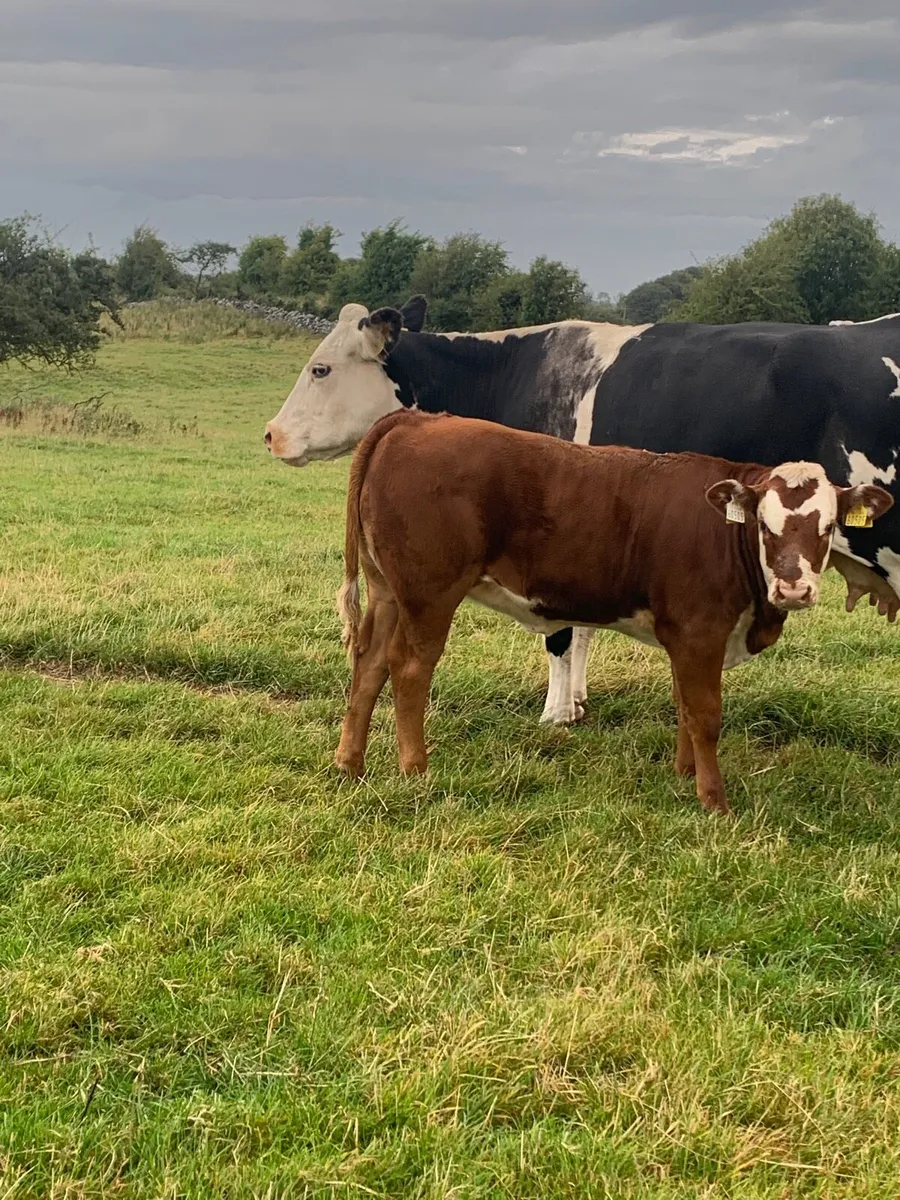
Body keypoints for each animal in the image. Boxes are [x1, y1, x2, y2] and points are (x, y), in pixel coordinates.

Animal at [264, 299, 900, 726]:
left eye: (320, 368)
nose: (270, 434)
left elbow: (562, 634)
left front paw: (555, 714)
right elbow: (586, 626)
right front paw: (576, 701)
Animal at [333, 410, 893, 813]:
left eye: (827, 527)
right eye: (764, 525)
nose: (794, 589)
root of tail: (416, 419)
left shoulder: (685, 637)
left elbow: (685, 706)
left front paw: (684, 774)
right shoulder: (700, 632)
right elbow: (706, 714)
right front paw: (713, 799)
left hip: (388, 593)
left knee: (369, 666)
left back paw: (350, 764)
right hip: (429, 595)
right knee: (408, 668)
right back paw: (415, 769)